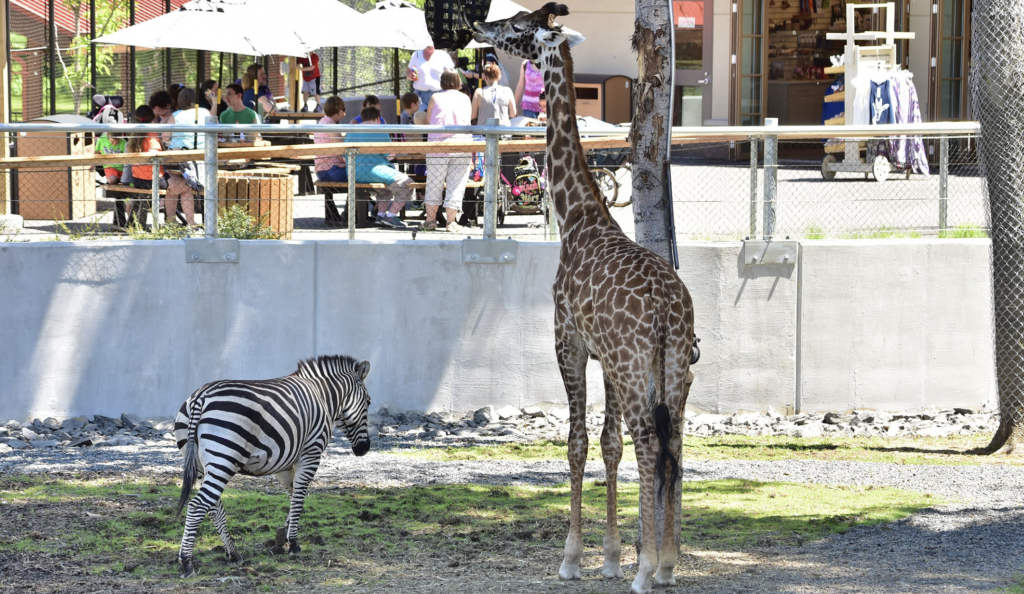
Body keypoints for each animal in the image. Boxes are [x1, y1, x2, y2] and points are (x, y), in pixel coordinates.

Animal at [473, 5, 696, 594]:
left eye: (519, 26)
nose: (481, 29)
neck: (577, 216)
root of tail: (668, 309)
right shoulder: (604, 360)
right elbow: (607, 444)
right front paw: (612, 557)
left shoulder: (568, 342)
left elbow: (576, 443)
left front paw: (574, 557)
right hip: (672, 366)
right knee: (673, 445)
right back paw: (667, 563)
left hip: (636, 364)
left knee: (650, 444)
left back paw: (649, 570)